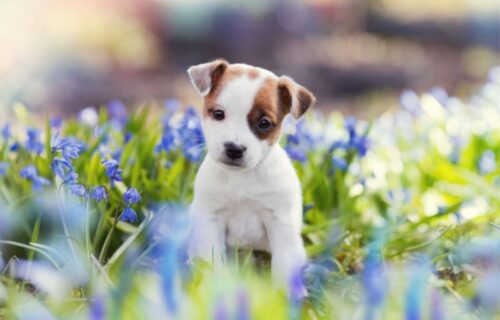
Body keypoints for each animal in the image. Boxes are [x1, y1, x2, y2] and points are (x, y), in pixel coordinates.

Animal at [186, 58, 314, 284]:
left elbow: (283, 264)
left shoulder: (280, 223)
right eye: (218, 114)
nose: (234, 149)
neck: (242, 178)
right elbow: (213, 261)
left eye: (264, 123)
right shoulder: (211, 221)